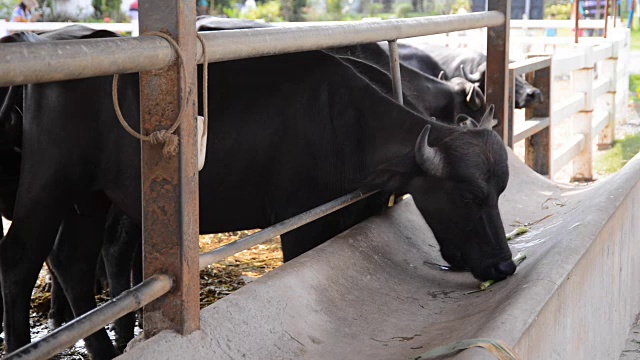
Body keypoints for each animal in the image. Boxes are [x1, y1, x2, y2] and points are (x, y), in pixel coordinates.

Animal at [0, 28, 512, 360]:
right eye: (468, 197)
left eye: (500, 193)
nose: (503, 267)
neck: (344, 122)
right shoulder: (298, 220)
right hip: (49, 184)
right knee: (20, 260)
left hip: (92, 197)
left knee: (73, 260)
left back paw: (105, 349)